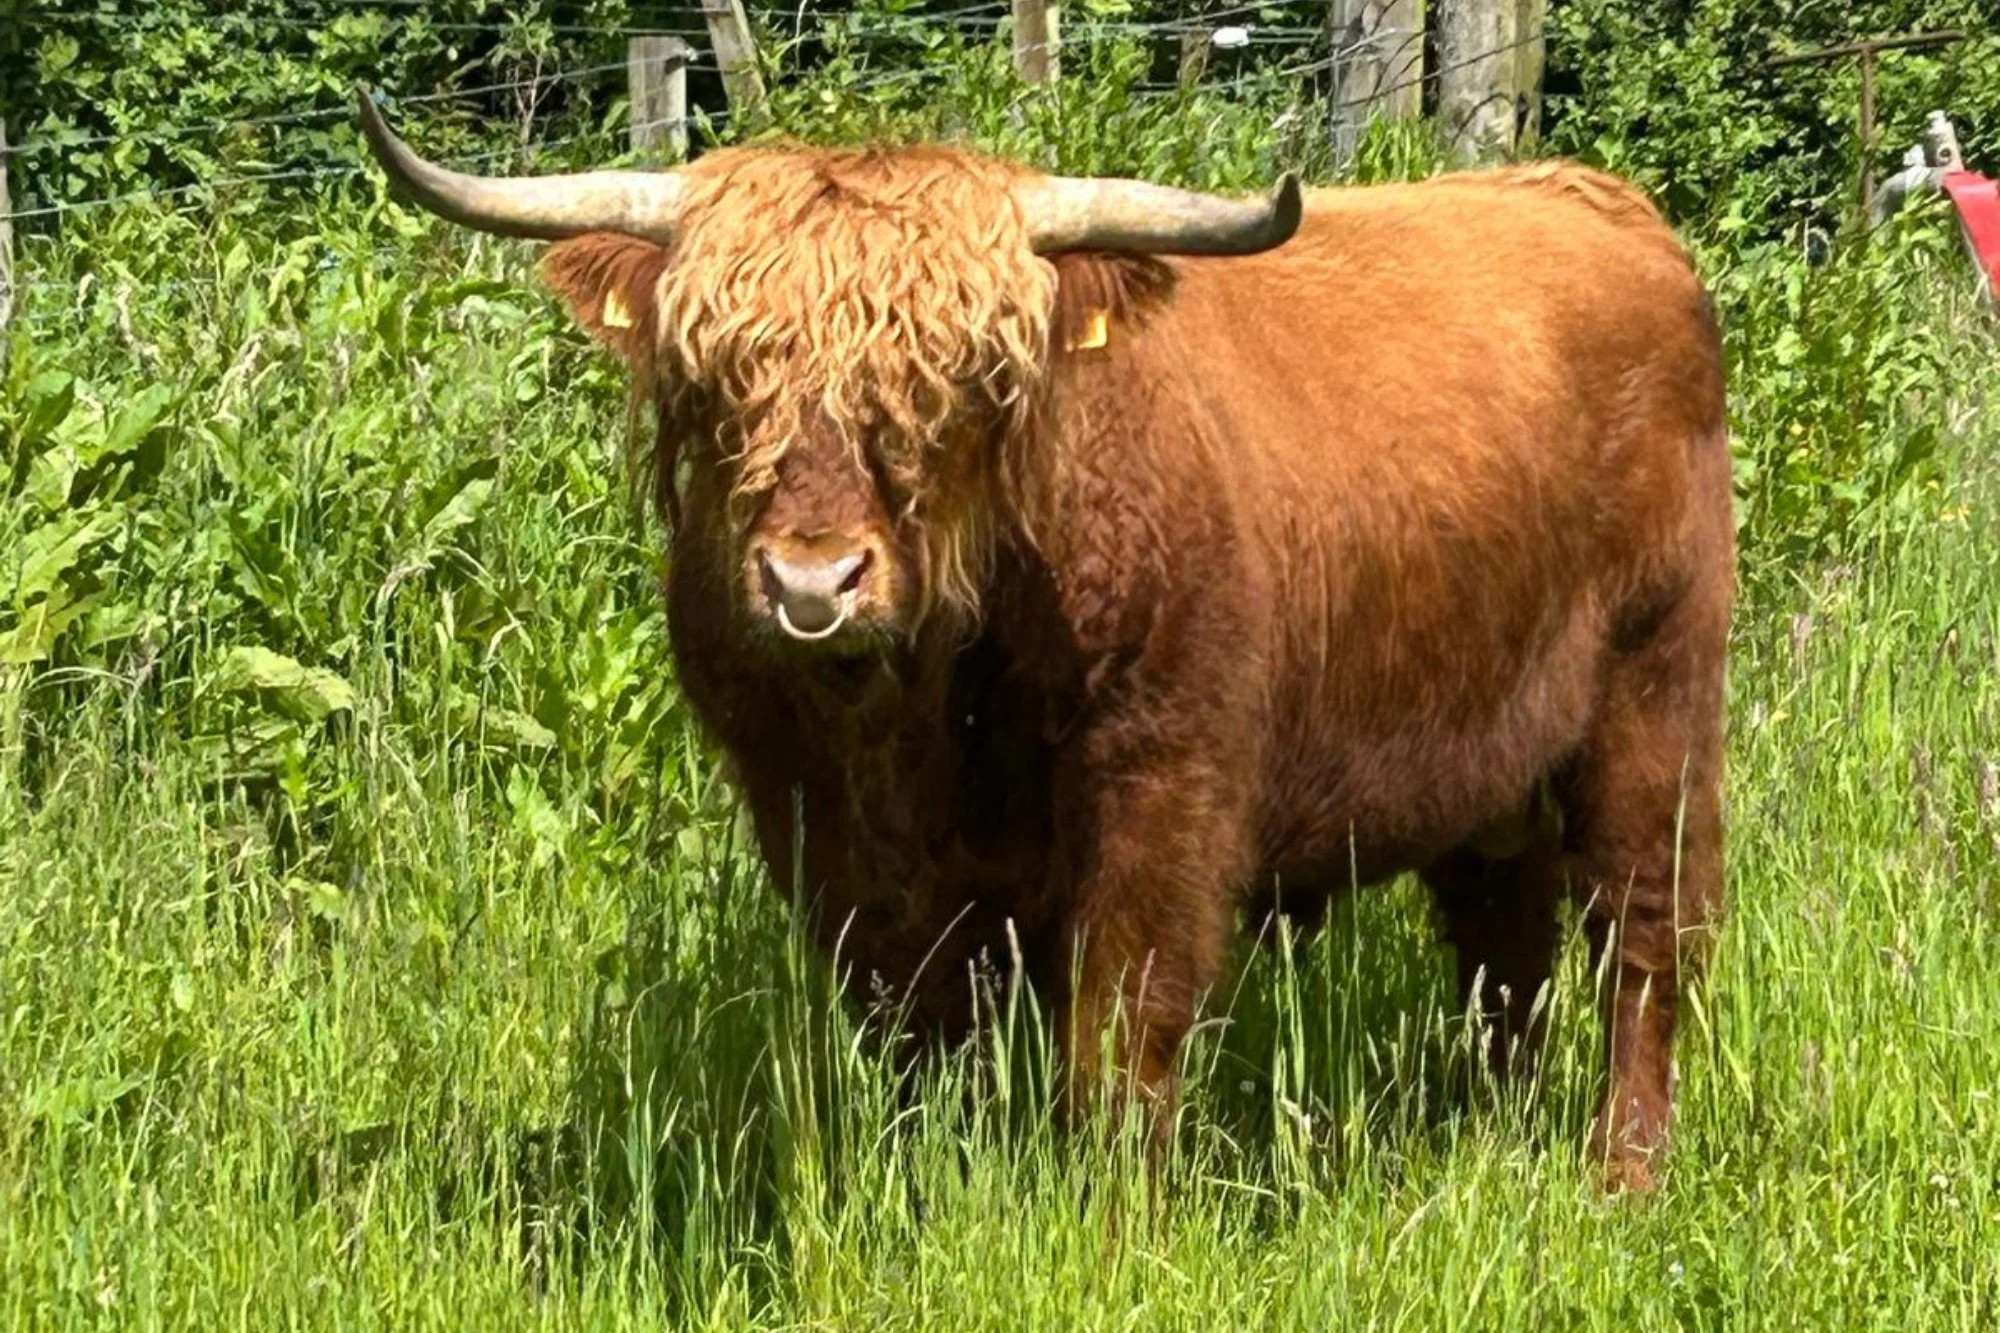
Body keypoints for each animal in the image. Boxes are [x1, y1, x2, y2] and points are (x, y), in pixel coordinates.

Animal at [355, 86, 1733, 1193]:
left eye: (960, 388)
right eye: (718, 382)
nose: (813, 579)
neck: (924, 705)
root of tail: (1605, 208)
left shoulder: (1160, 796)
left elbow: (1118, 1037)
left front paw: (1114, 1228)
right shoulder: (820, 829)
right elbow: (914, 1036)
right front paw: (937, 1191)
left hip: (1654, 698)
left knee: (1639, 934)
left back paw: (1623, 1178)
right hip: (1486, 759)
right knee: (1504, 945)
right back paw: (1486, 1133)